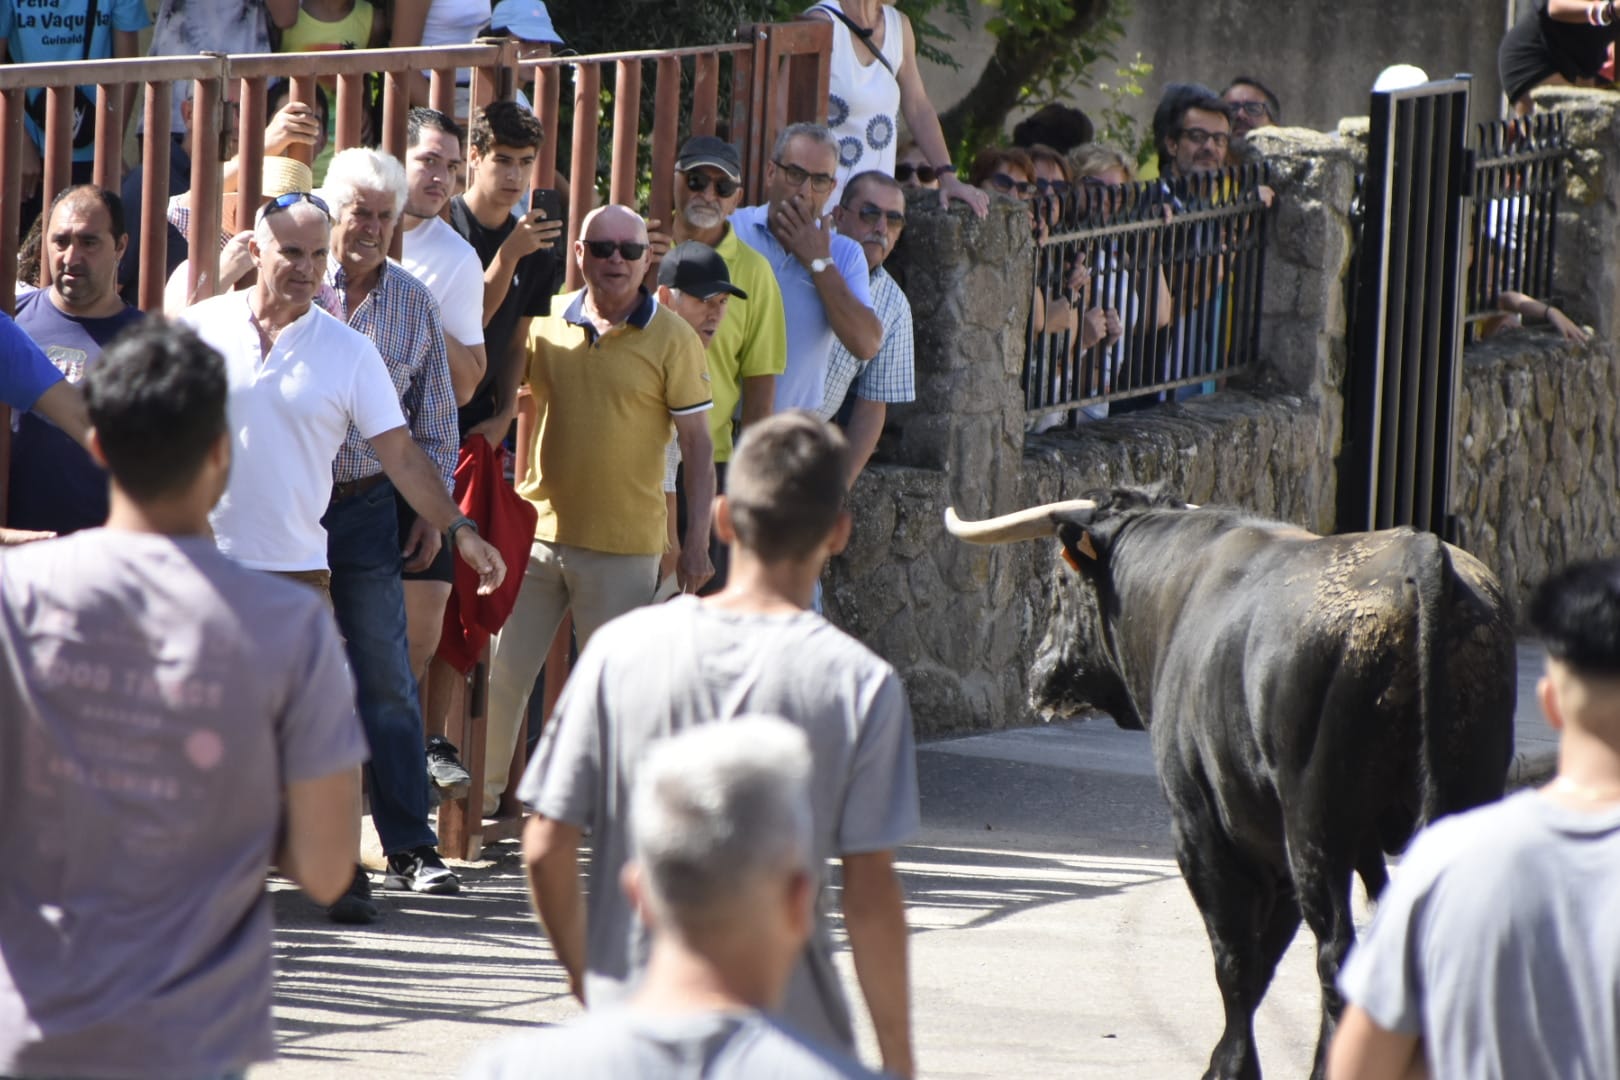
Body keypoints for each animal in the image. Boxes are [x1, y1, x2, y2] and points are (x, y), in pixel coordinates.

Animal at [946, 492, 1516, 1080]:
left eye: (1060, 583)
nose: (1038, 672)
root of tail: (1419, 552)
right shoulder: (1284, 849)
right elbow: (1269, 957)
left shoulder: (1203, 831)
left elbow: (1237, 960)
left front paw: (1230, 1066)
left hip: (1316, 827)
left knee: (1334, 954)